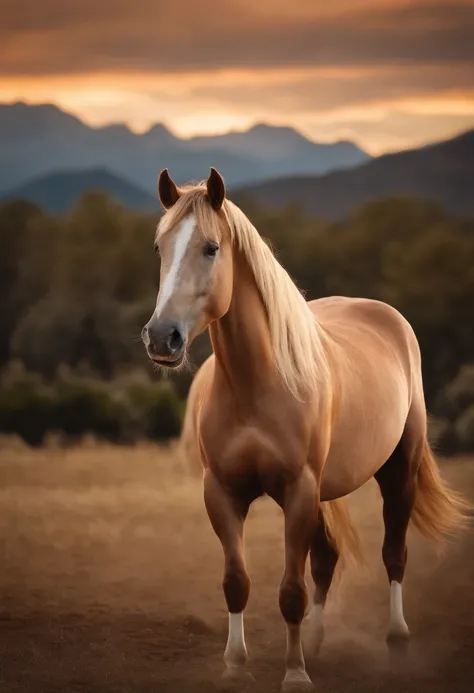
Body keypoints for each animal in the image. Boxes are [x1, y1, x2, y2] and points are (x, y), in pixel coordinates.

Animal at [142, 168, 470, 692]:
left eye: (211, 248)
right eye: (160, 247)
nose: (161, 337)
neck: (257, 385)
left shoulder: (298, 491)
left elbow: (291, 591)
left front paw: (294, 674)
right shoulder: (223, 492)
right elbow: (237, 582)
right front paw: (235, 666)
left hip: (397, 472)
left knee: (393, 555)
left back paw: (396, 641)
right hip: (324, 492)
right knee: (327, 560)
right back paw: (315, 642)